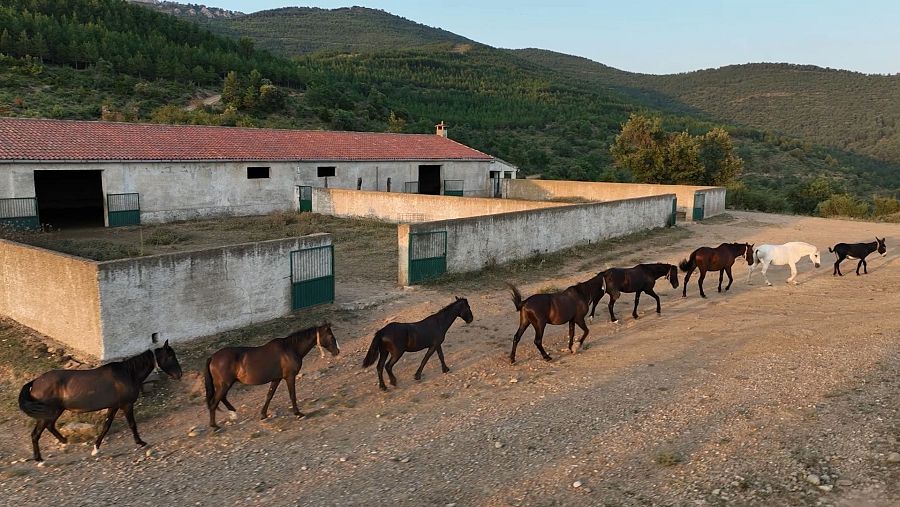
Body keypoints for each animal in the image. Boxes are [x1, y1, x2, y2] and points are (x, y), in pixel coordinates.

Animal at [18, 341, 182, 463]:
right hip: (48, 412)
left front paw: (95, 448)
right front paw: (140, 442)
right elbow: (132, 424)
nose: (179, 374)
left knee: (50, 427)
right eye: (171, 356)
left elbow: (106, 426)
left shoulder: (114, 406)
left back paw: (65, 441)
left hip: (55, 411)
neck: (128, 374)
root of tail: (34, 382)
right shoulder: (126, 405)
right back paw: (39, 459)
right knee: (36, 434)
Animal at [204, 323, 339, 428]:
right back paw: (214, 426)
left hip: (226, 384)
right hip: (224, 384)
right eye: (330, 336)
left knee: (222, 398)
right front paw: (298, 413)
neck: (290, 349)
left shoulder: (276, 379)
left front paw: (263, 415)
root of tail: (213, 357)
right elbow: (292, 395)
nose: (337, 351)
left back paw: (233, 413)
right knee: (214, 402)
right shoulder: (290, 377)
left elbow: (269, 395)